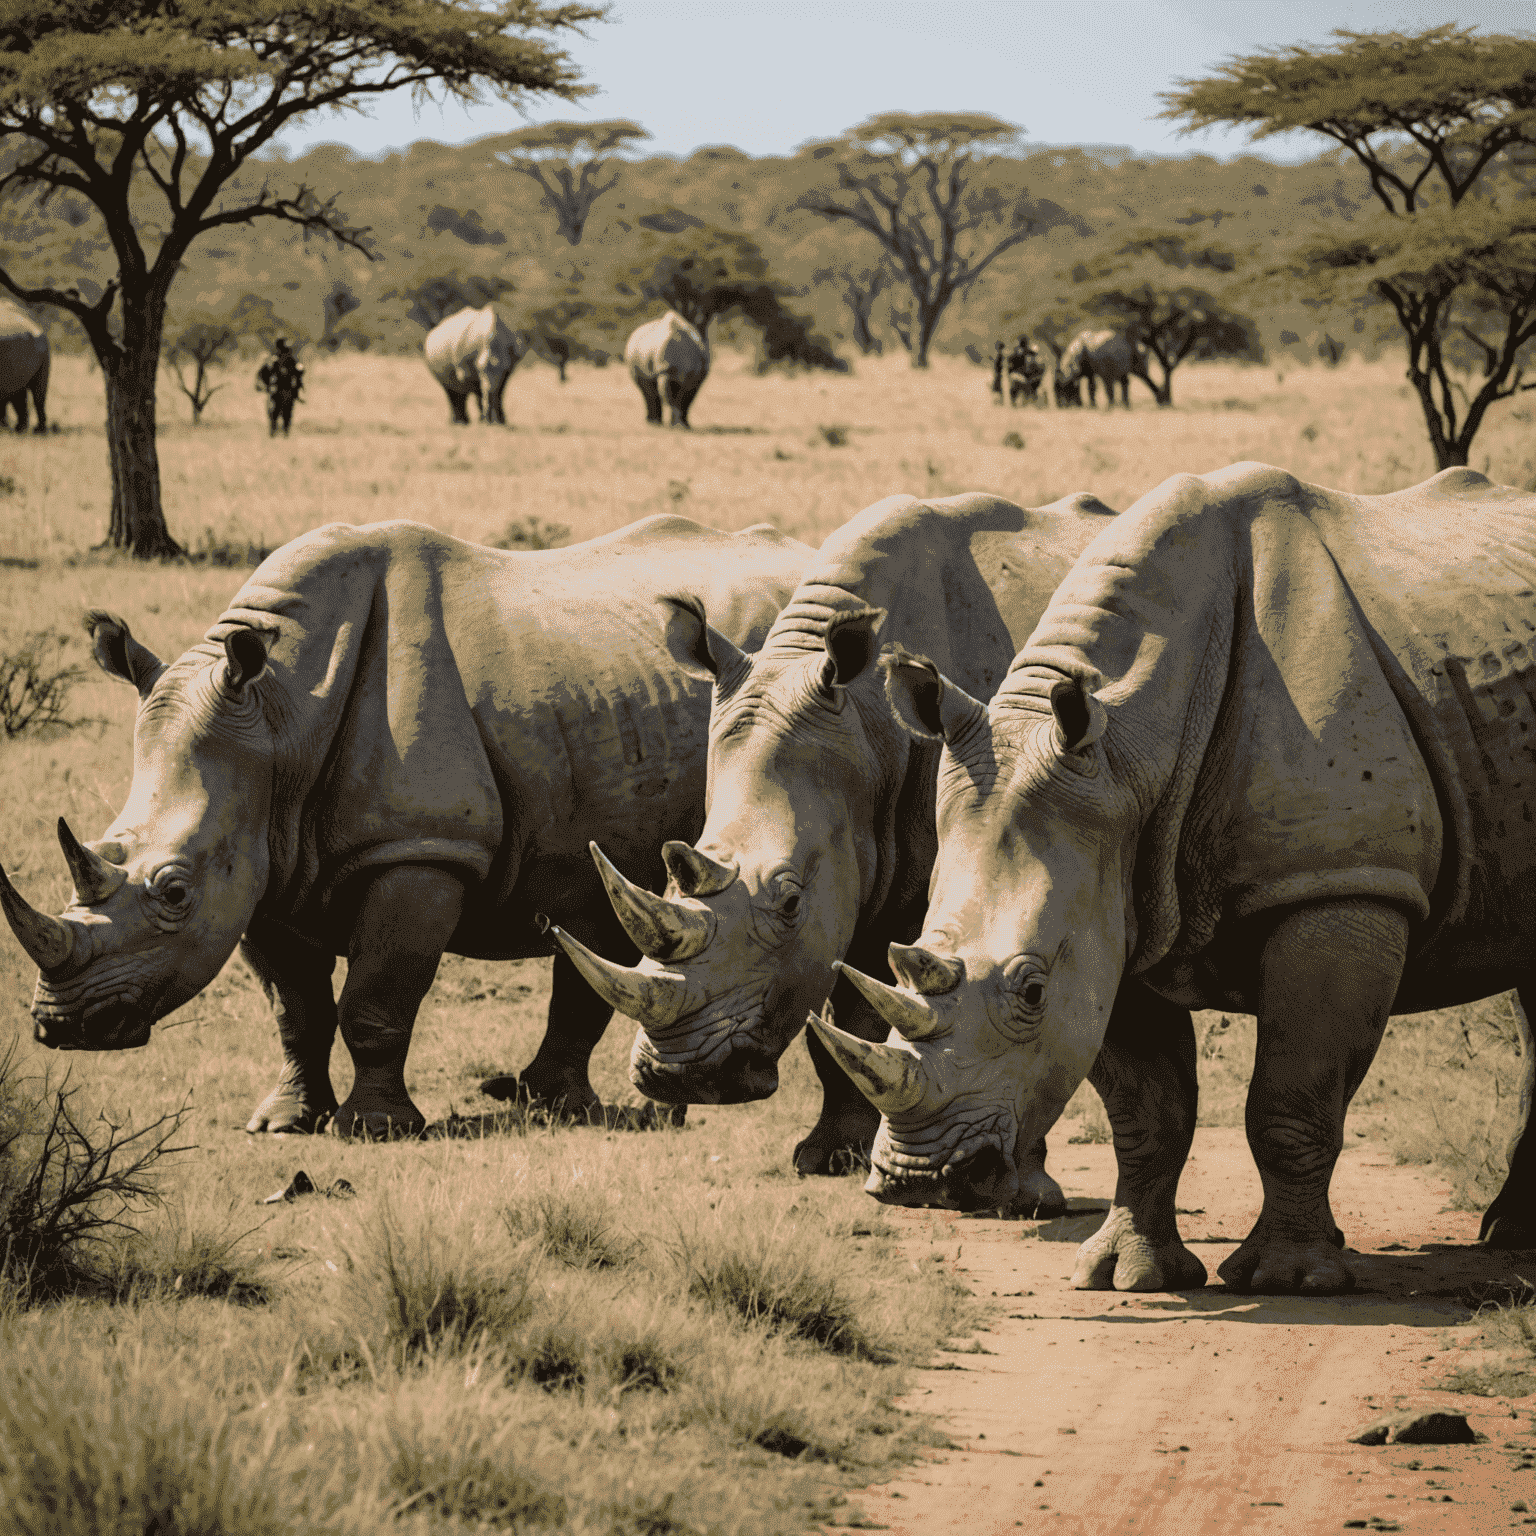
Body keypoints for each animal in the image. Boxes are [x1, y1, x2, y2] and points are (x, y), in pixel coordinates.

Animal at [0, 516, 811, 1142]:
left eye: (173, 891)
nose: (61, 1026)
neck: (278, 717)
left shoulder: (418, 849)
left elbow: (376, 1000)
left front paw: (375, 1129)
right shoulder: (263, 861)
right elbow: (295, 1010)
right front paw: (283, 1125)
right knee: (607, 901)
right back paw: (553, 1108)